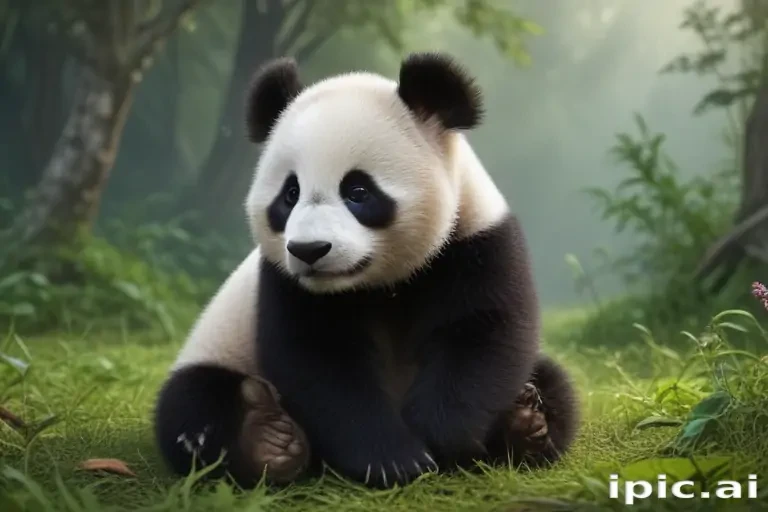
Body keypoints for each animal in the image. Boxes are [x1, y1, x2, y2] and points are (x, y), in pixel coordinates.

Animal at [154, 52, 579, 489]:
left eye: (358, 191)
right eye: (290, 194)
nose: (309, 250)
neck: (379, 282)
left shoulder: (476, 242)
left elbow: (480, 335)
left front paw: (437, 439)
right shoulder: (284, 281)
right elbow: (320, 361)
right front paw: (394, 459)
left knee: (553, 382)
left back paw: (527, 421)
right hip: (221, 349)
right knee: (192, 404)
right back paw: (265, 439)